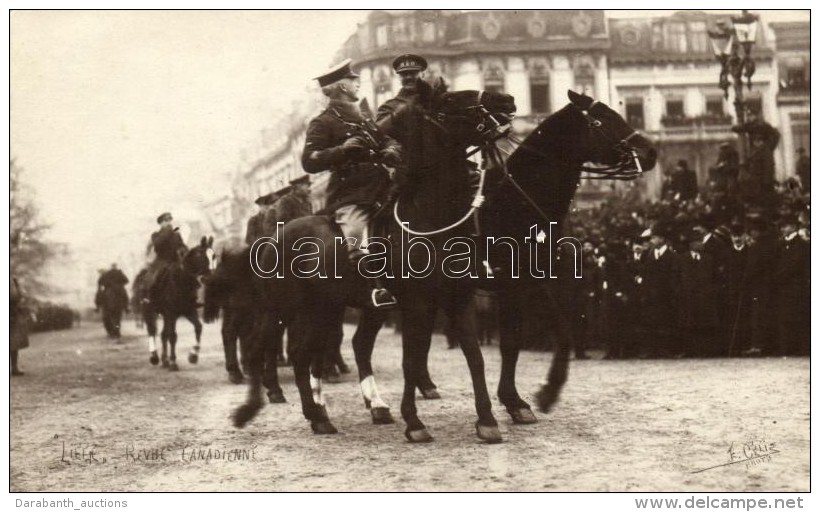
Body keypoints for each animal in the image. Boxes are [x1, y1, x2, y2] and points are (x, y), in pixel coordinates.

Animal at [144, 236, 215, 372]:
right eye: (202, 256)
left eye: (214, 256)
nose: (209, 278)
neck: (182, 280)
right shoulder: (171, 312)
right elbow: (172, 336)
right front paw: (173, 362)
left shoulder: (188, 311)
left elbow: (198, 327)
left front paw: (193, 356)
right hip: (150, 309)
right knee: (152, 330)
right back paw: (154, 357)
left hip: (168, 316)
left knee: (163, 334)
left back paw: (164, 360)